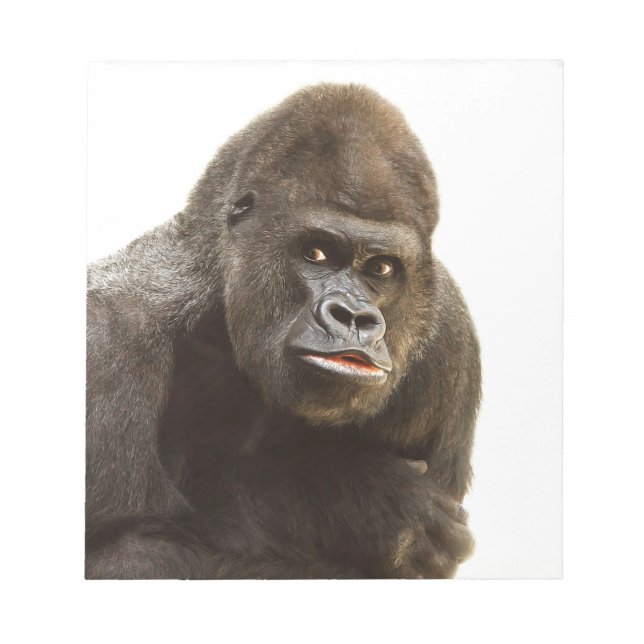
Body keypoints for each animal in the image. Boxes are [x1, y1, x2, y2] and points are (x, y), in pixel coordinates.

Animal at [85, 83, 481, 579]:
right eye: (316, 253)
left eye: (381, 268)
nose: (353, 318)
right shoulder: (106, 339)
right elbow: (126, 552)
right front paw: (364, 502)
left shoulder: (450, 336)